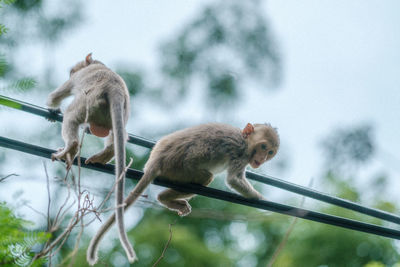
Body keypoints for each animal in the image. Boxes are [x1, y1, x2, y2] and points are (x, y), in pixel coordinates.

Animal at [47, 53, 136, 262]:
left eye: (73, 71)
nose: (72, 72)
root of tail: (115, 90)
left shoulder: (76, 82)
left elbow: (56, 96)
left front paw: (52, 109)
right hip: (114, 115)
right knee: (117, 135)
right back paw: (105, 154)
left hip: (88, 103)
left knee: (71, 115)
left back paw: (69, 149)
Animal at [88, 122, 278, 264]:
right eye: (263, 146)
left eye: (270, 152)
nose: (262, 159)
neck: (245, 141)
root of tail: (156, 161)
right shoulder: (240, 153)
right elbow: (234, 180)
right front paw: (260, 198)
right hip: (181, 168)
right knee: (206, 177)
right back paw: (165, 198)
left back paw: (164, 198)